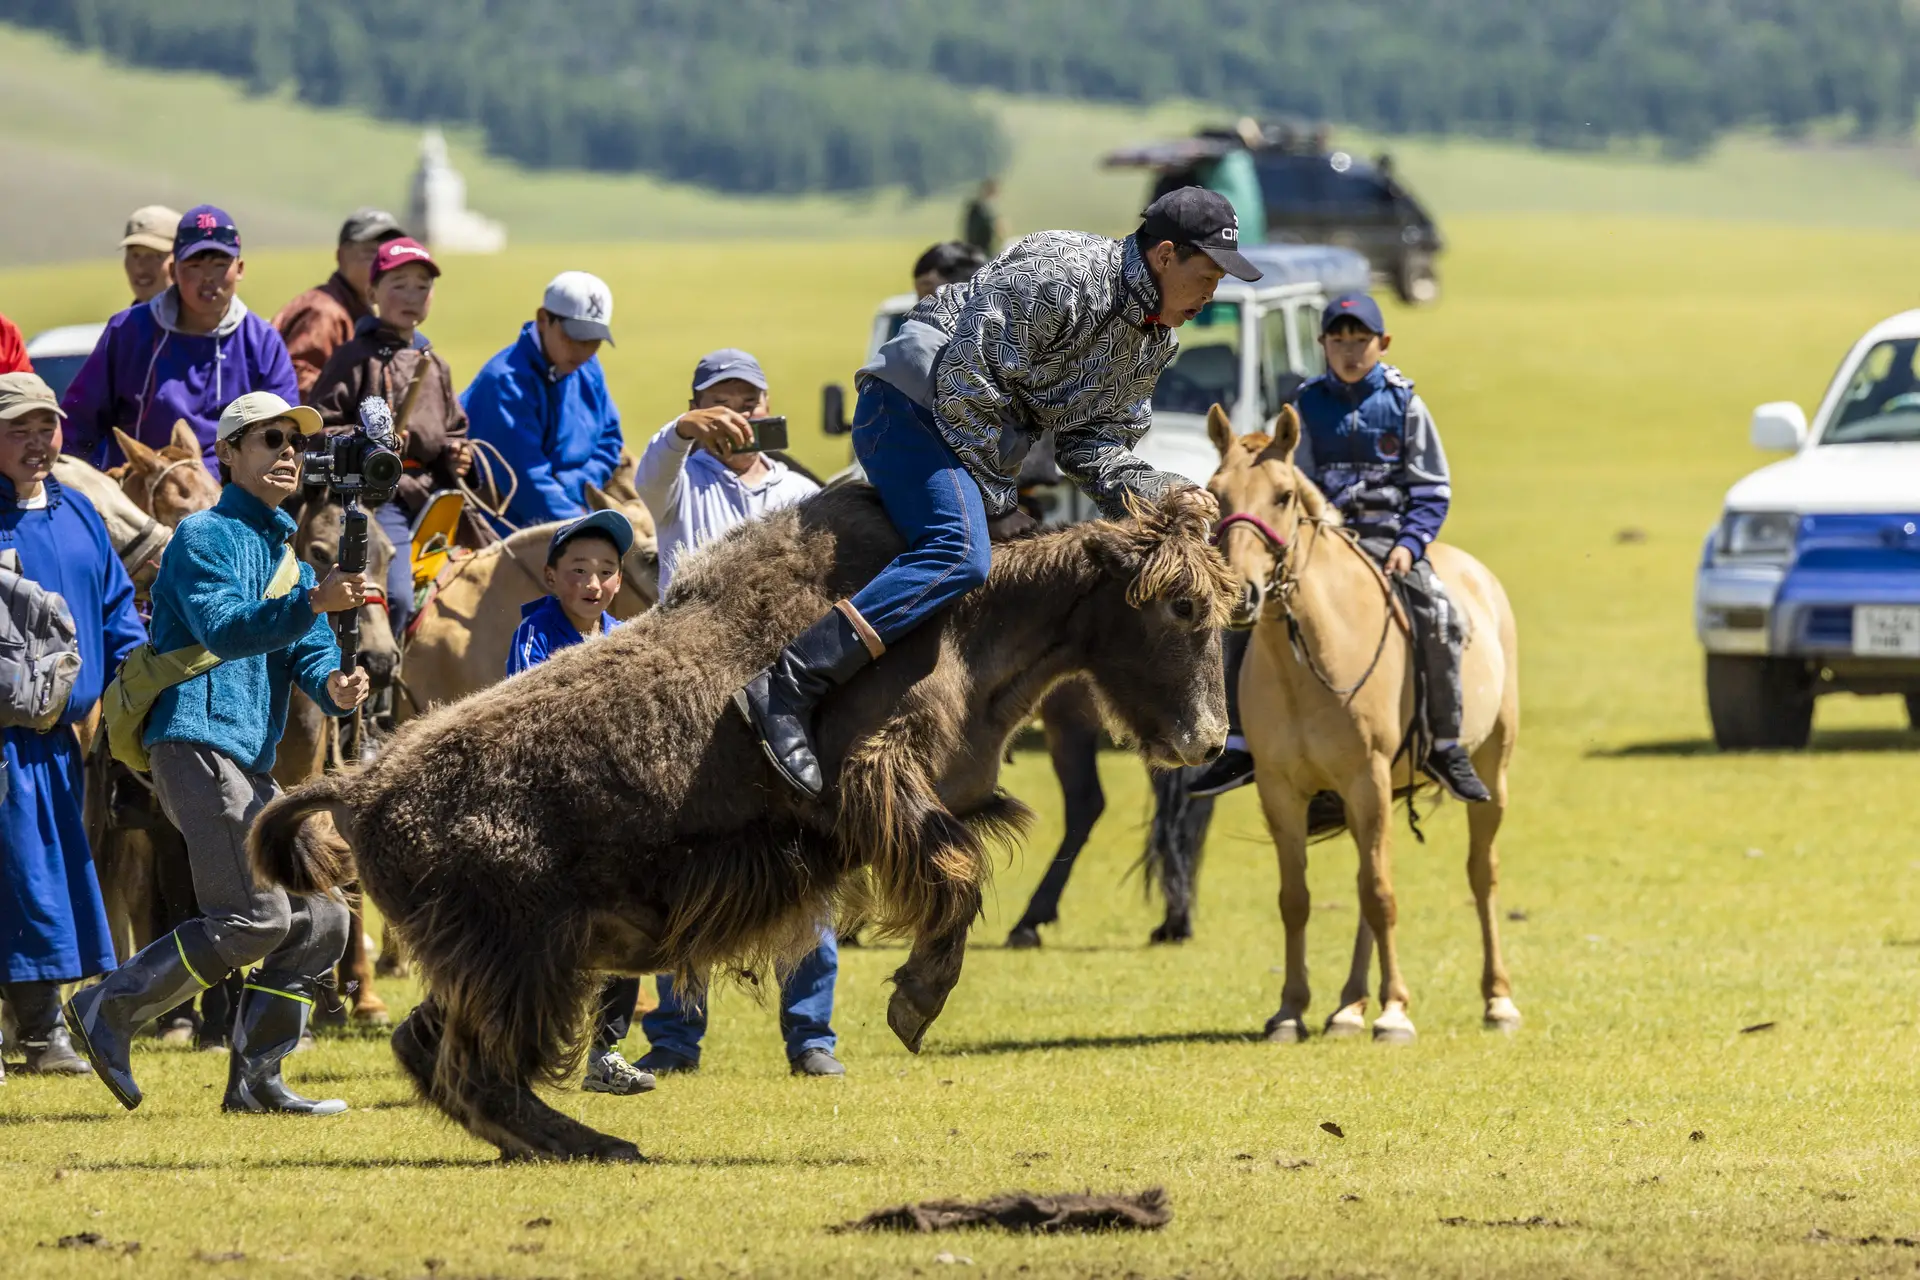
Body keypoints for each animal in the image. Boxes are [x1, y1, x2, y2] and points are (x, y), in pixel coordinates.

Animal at [247, 485, 1228, 1166]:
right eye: (1181, 607)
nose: (1209, 738)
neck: (966, 620)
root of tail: (366, 784)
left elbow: (956, 870)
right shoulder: (876, 788)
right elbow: (954, 875)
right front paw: (914, 1003)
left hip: (505, 961)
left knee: (433, 1049)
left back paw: (579, 1141)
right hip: (527, 958)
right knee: (471, 1066)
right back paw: (602, 1145)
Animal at [1205, 404, 1520, 1043]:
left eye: (1281, 496)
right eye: (1215, 493)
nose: (1242, 595)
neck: (1311, 657)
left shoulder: (1366, 779)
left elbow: (1380, 895)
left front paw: (1395, 1011)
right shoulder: (1282, 790)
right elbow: (1298, 898)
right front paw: (1290, 1010)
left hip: (1490, 771)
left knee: (1481, 874)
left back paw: (1497, 1001)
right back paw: (1349, 1006)